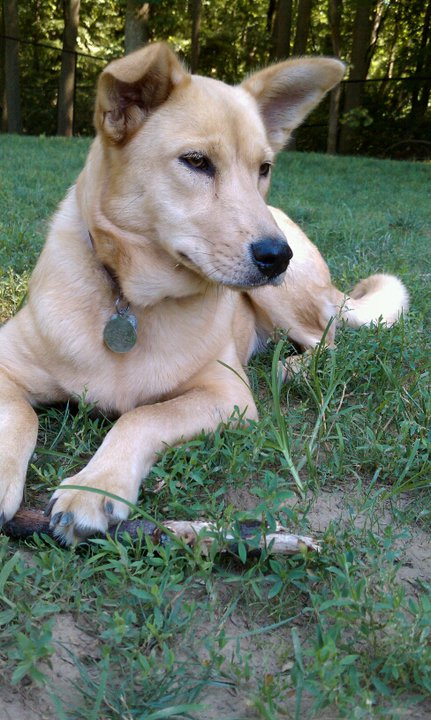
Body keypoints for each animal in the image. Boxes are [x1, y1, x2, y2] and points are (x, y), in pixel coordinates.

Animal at [0, 42, 408, 544]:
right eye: (196, 162)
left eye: (263, 168)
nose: (277, 256)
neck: (128, 298)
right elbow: (20, 415)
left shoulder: (227, 395)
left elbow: (143, 416)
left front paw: (95, 487)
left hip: (286, 300)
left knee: (327, 338)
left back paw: (294, 367)